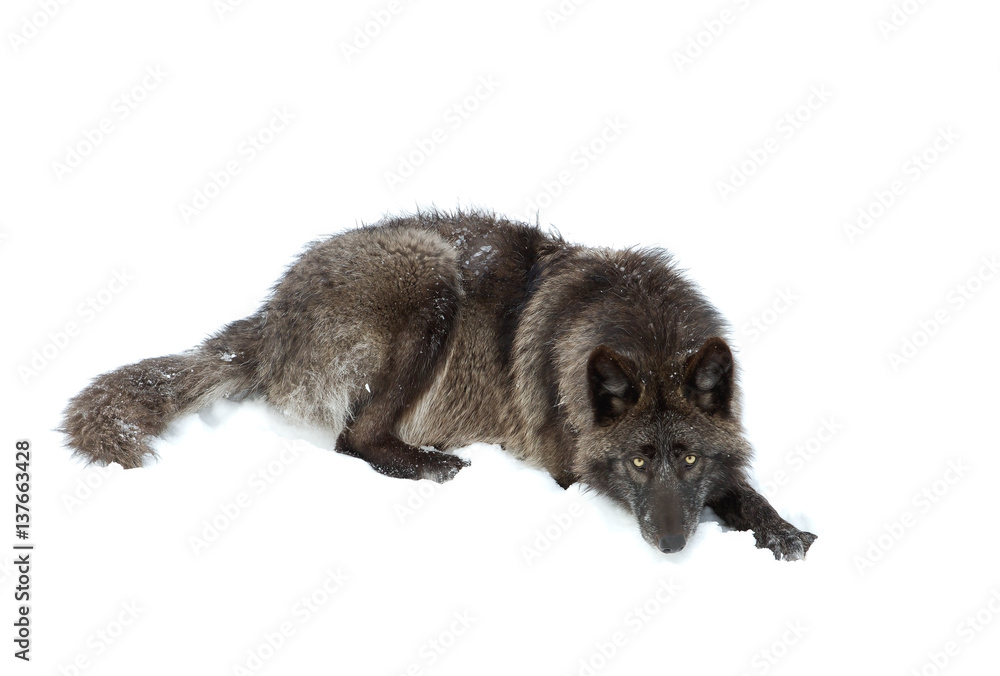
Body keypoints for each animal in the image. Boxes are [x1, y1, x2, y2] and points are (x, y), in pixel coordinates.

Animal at [62, 210, 816, 560]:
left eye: (685, 456)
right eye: (636, 461)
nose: (670, 545)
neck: (643, 328)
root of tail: (270, 316)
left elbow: (739, 489)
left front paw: (783, 532)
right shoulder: (570, 469)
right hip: (431, 278)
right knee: (355, 438)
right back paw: (432, 464)